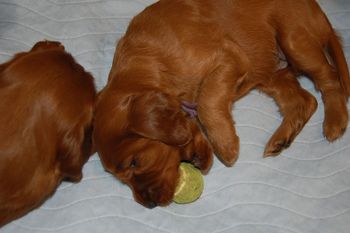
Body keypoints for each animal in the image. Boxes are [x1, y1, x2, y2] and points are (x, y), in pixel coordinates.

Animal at [93, 0, 350, 208]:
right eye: (121, 178)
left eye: (134, 163)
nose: (149, 204)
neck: (152, 59)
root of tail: (319, 12)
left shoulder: (230, 57)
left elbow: (206, 100)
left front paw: (226, 146)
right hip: (272, 72)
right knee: (305, 100)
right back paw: (280, 140)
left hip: (294, 38)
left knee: (329, 78)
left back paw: (335, 121)